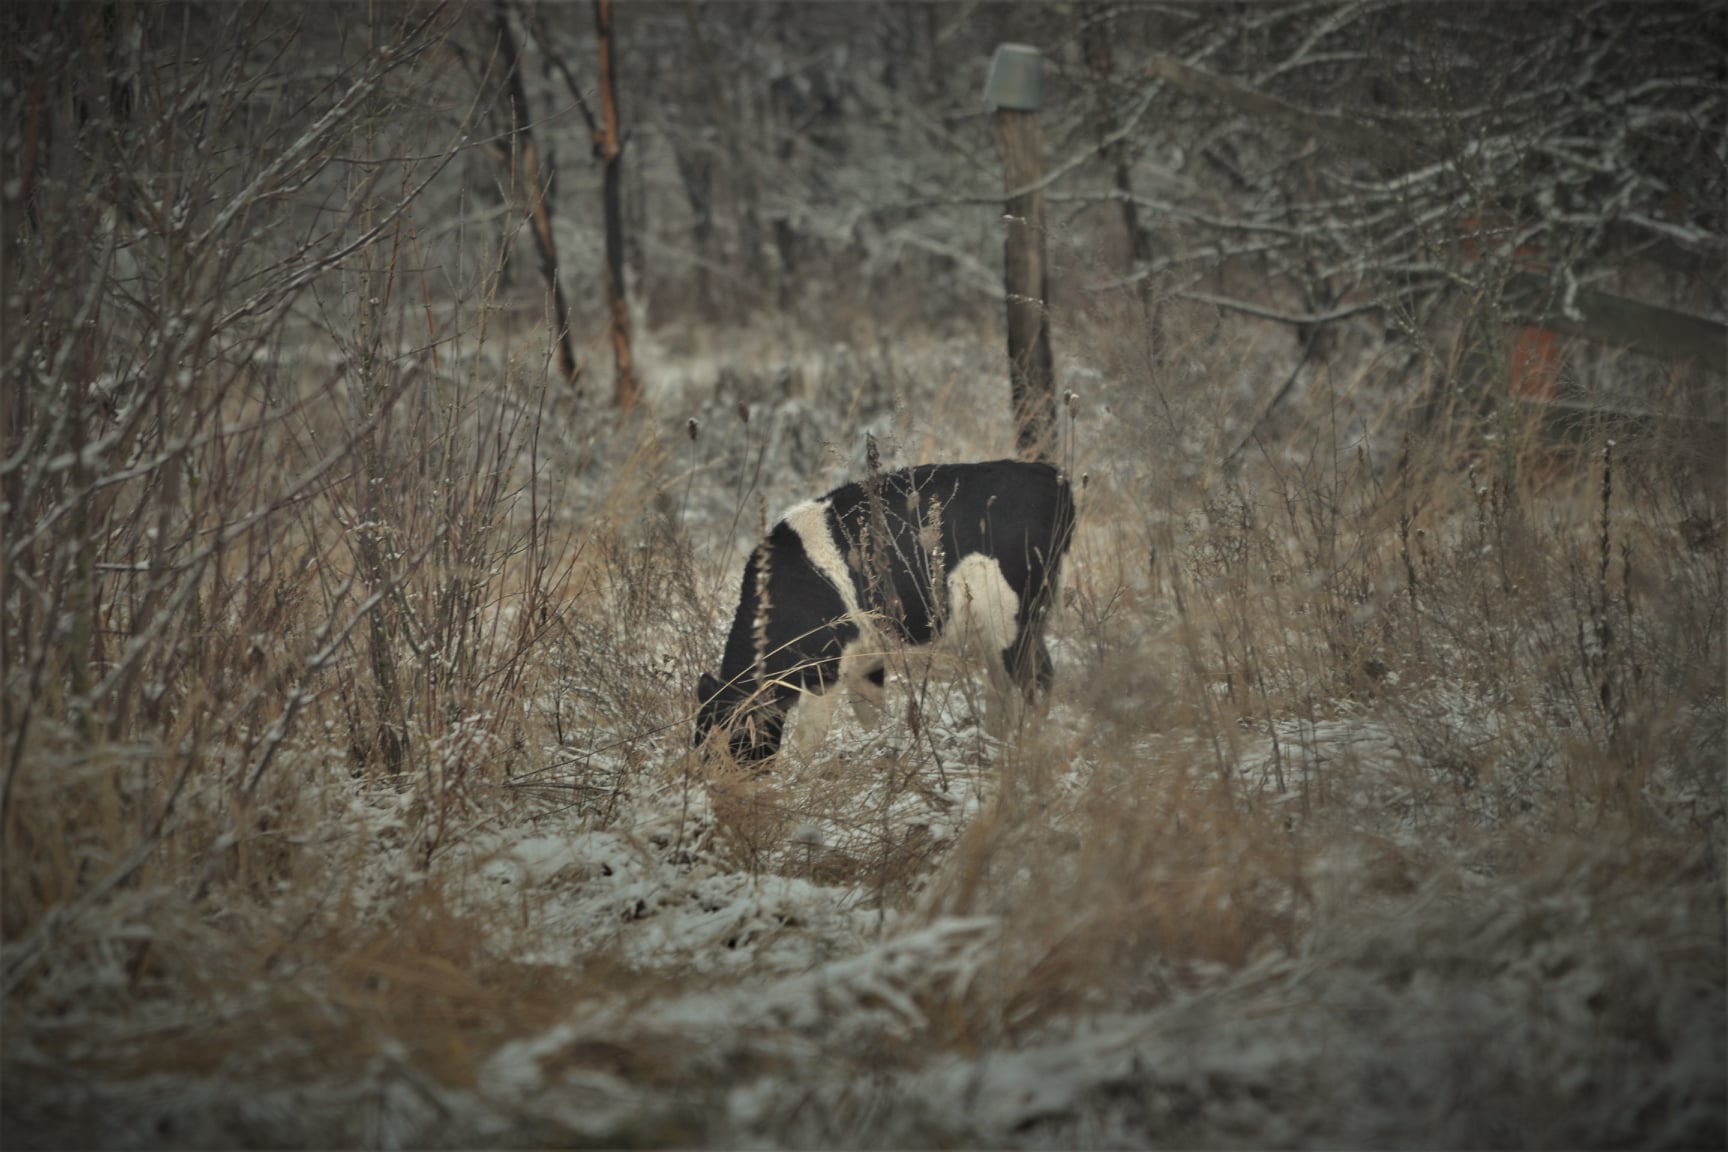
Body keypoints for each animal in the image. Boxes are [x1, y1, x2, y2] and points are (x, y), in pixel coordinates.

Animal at [694, 459, 1071, 766]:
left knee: (1036, 683)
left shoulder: (820, 669)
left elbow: (808, 739)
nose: (717, 790)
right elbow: (870, 716)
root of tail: (1052, 477)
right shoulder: (866, 662)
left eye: (726, 743)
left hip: (1012, 622)